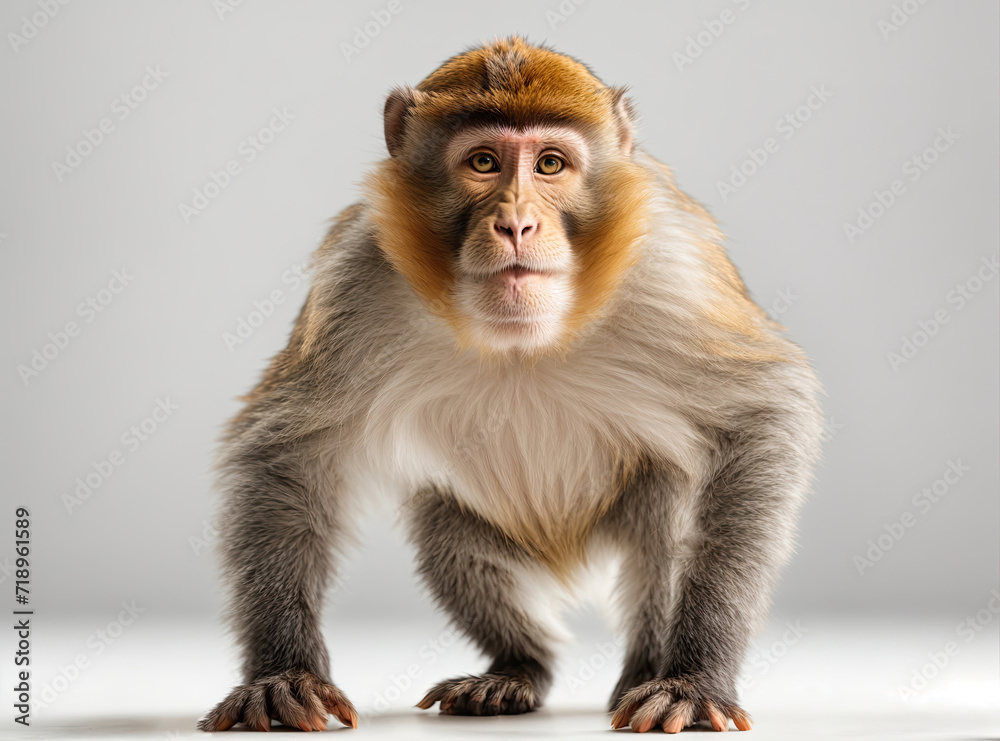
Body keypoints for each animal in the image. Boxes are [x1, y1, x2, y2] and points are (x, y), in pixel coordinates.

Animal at [197, 36, 823, 734]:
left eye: (550, 164)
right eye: (483, 162)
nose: (518, 223)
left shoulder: (671, 267)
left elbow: (762, 414)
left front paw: (693, 679)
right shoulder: (355, 278)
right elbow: (290, 455)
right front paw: (282, 676)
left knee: (668, 534)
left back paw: (645, 668)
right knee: (451, 538)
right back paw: (516, 669)